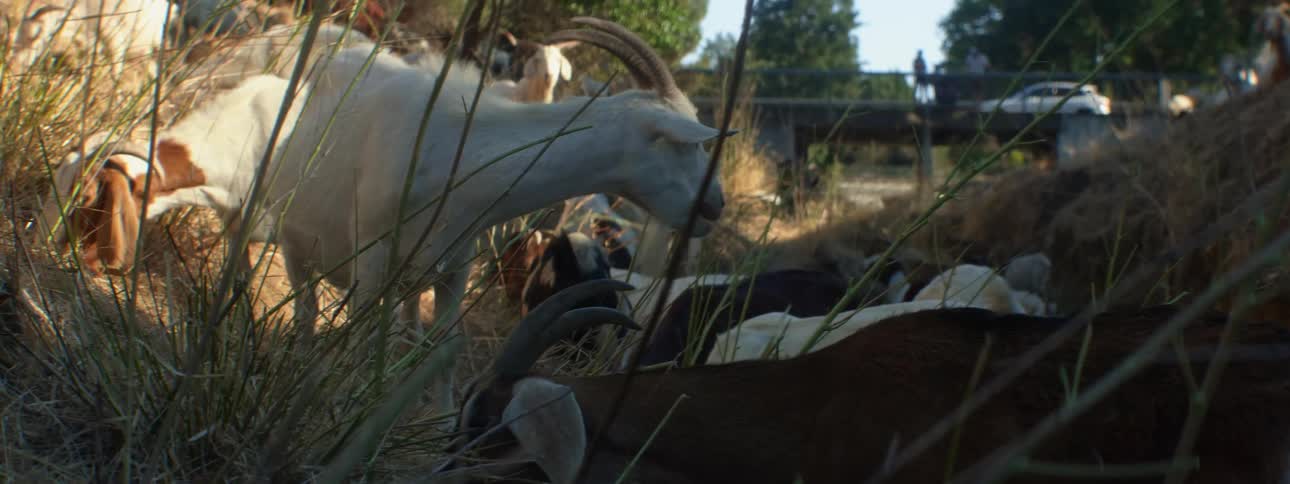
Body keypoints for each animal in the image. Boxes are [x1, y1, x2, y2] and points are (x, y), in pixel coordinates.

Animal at [42, 18, 726, 411]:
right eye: (689, 143)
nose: (715, 206)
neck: (458, 148)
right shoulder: (372, 264)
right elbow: (359, 340)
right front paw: (351, 404)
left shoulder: (453, 268)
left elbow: (443, 345)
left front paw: (437, 418)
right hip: (298, 239)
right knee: (305, 308)